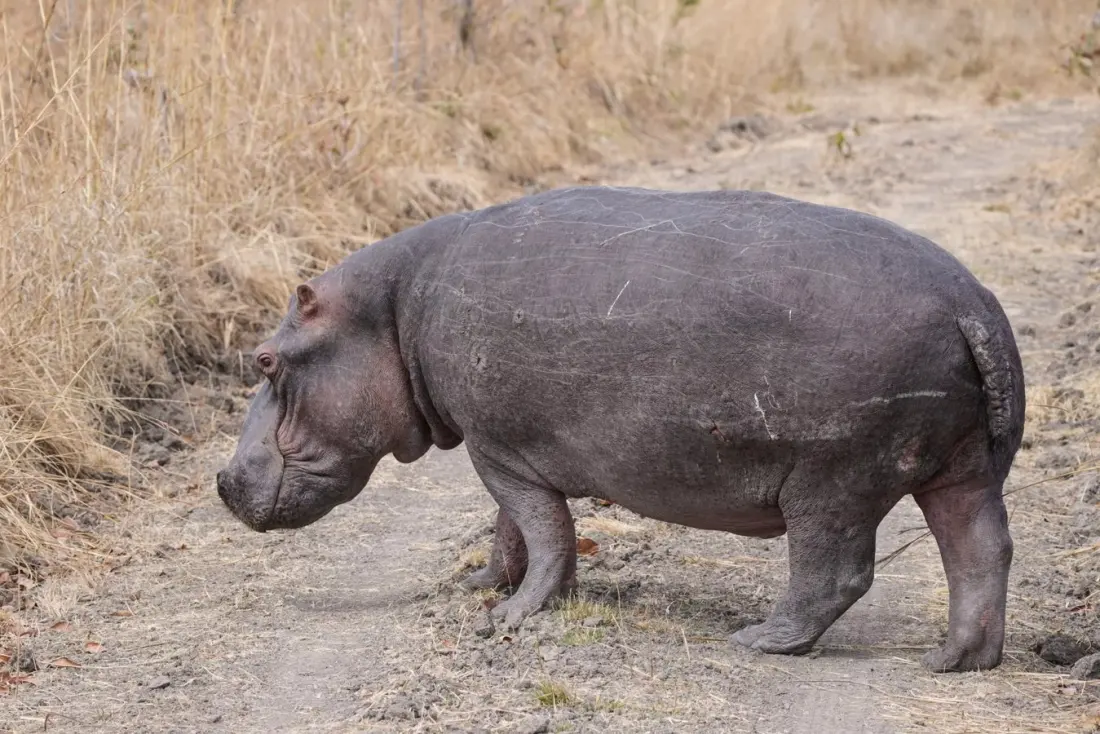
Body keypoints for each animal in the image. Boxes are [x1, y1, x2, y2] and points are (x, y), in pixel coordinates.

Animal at [216, 185, 1024, 673]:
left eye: (264, 359)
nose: (222, 480)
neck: (389, 311)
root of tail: (971, 301)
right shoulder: (502, 449)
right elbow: (509, 531)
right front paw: (476, 584)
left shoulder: (499, 451)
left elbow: (543, 532)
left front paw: (509, 616)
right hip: (961, 470)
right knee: (981, 552)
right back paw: (955, 661)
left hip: (833, 481)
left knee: (835, 571)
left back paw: (757, 641)